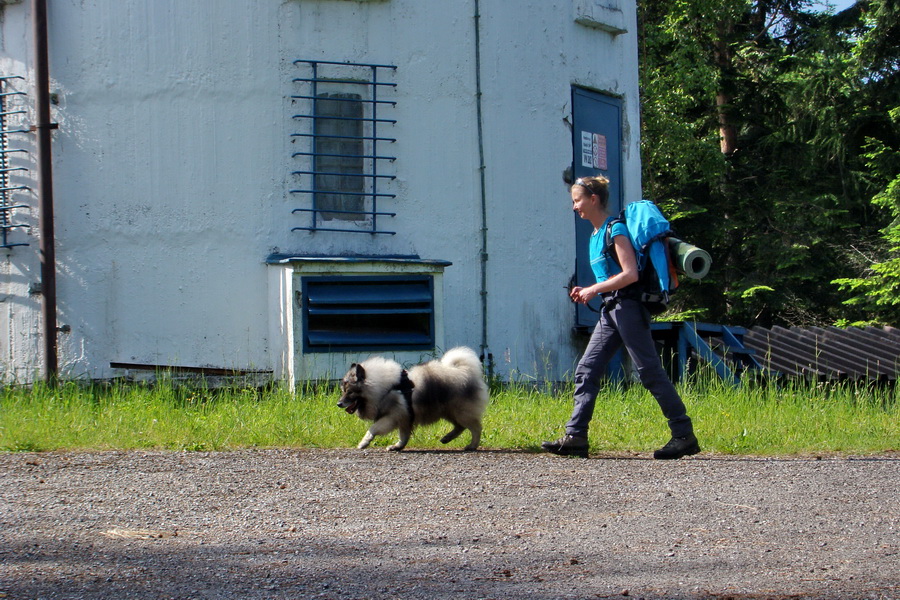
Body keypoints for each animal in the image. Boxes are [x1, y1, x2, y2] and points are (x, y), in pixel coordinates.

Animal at [338, 346, 488, 450]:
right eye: (343, 391)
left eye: (350, 392)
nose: (339, 403)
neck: (384, 388)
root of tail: (466, 371)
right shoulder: (404, 419)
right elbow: (403, 436)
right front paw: (397, 446)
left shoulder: (392, 417)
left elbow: (373, 429)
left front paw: (363, 442)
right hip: (449, 412)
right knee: (460, 427)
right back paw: (447, 438)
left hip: (460, 412)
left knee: (476, 428)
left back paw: (472, 446)